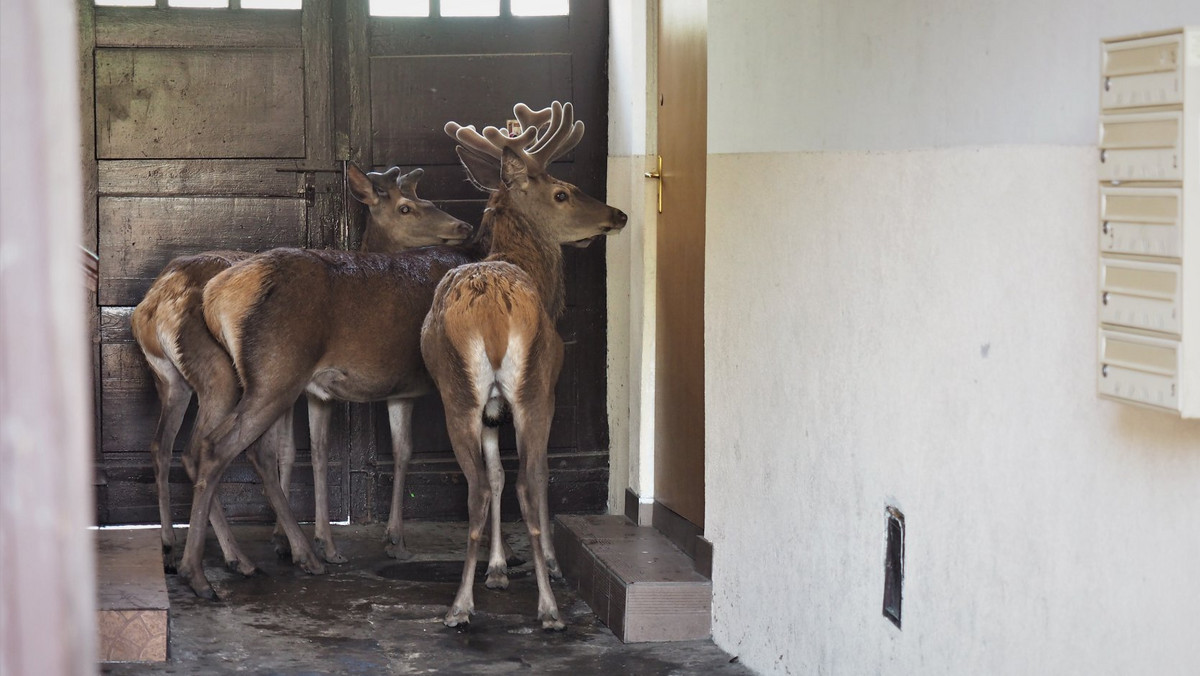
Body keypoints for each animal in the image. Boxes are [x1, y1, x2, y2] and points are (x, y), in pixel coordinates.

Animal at [130, 165, 468, 576]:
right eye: (406, 208)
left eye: (428, 198)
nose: (464, 226)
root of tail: (156, 301)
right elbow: (294, 451)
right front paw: (306, 542)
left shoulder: (312, 392)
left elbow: (308, 451)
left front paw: (294, 539)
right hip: (230, 376)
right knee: (204, 449)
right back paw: (238, 557)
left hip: (172, 380)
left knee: (162, 446)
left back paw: (171, 546)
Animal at [422, 100, 628, 629]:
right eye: (562, 192)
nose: (617, 214)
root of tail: (492, 315)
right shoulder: (548, 388)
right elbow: (535, 478)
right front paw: (548, 565)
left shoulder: (492, 410)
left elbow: (495, 475)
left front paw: (496, 568)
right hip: (532, 388)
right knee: (530, 482)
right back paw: (549, 608)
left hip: (457, 394)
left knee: (477, 487)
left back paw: (460, 605)